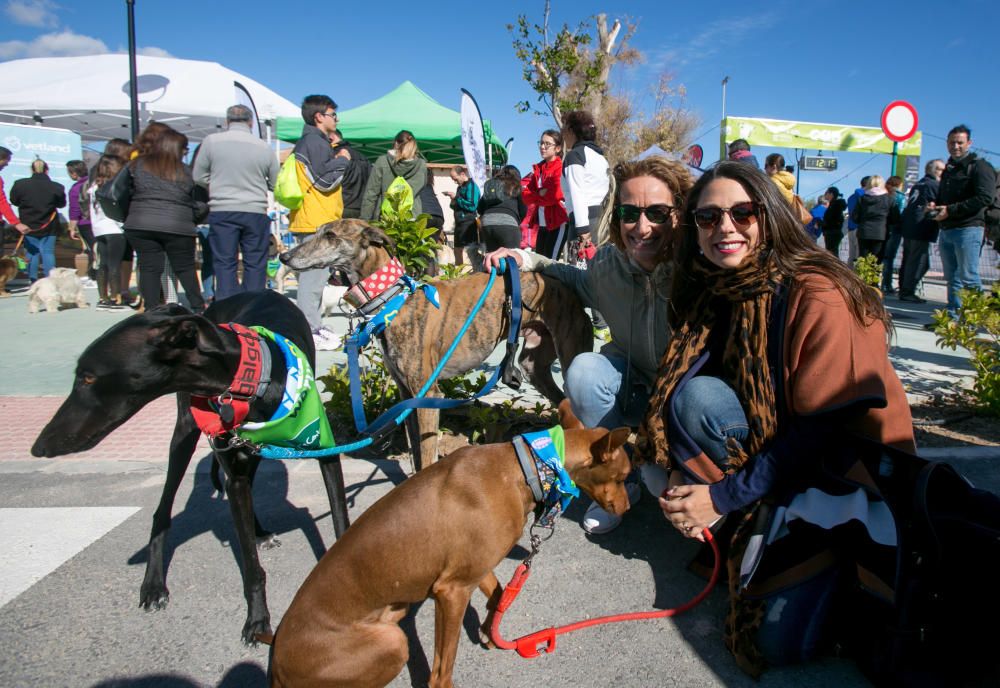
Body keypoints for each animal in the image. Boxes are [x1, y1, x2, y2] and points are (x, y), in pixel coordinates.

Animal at [264, 404, 624, 688]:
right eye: (622, 477)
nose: (628, 507)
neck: (531, 468)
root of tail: (276, 668)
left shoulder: (468, 570)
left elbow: (498, 593)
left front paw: (489, 630)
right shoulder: (451, 591)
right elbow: (441, 671)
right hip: (392, 642)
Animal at [282, 218, 592, 470]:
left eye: (330, 234)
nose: (285, 256)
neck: (393, 299)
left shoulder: (428, 393)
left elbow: (427, 454)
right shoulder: (406, 395)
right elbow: (415, 455)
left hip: (570, 354)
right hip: (533, 367)